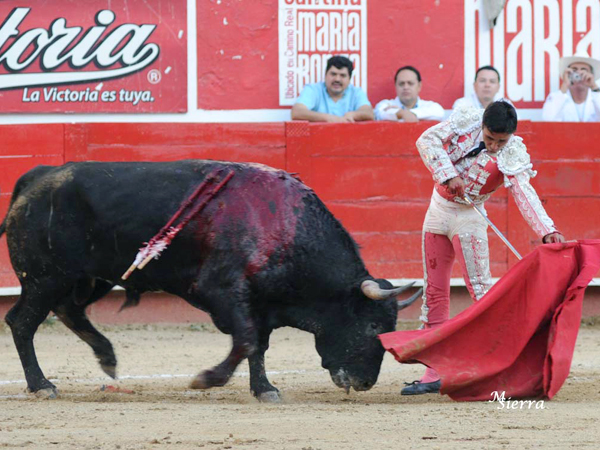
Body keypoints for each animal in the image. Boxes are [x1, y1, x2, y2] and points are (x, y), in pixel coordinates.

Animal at [0, 162, 420, 400]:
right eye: (373, 326)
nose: (365, 383)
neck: (284, 227)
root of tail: (35, 178)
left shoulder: (260, 304)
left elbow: (258, 346)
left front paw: (264, 389)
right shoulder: (224, 292)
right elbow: (247, 340)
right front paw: (208, 379)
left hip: (90, 277)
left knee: (69, 311)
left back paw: (107, 357)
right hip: (45, 278)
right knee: (21, 322)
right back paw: (42, 385)